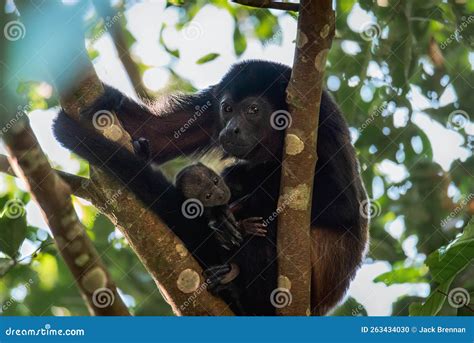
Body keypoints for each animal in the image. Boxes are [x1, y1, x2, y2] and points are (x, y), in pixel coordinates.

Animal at [52, 59, 370, 318]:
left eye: (253, 110)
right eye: (227, 109)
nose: (230, 129)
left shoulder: (321, 121)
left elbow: (342, 207)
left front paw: (229, 215)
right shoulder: (212, 103)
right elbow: (161, 134)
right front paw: (112, 99)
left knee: (260, 237)